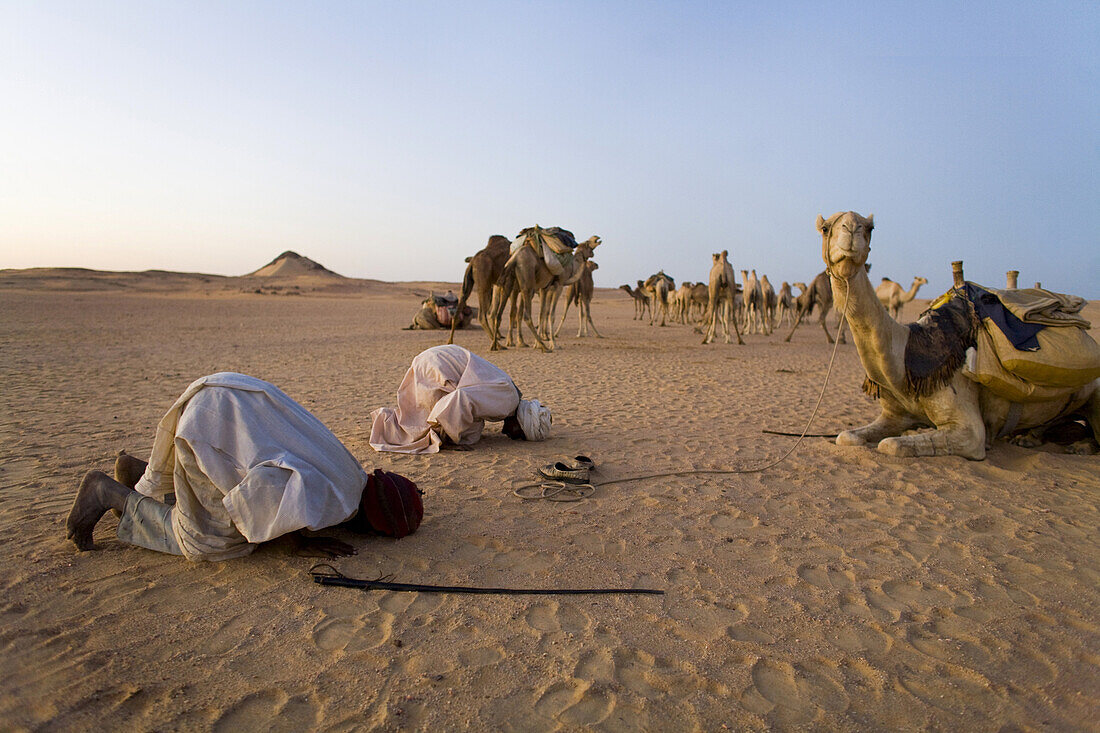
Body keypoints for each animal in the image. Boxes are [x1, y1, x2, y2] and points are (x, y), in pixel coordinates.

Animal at [818, 211, 1100, 460]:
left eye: (870, 227)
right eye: (825, 227)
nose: (851, 230)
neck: (907, 354)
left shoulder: (969, 428)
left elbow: (891, 445)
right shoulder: (893, 415)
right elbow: (846, 436)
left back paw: (1078, 447)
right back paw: (1026, 438)